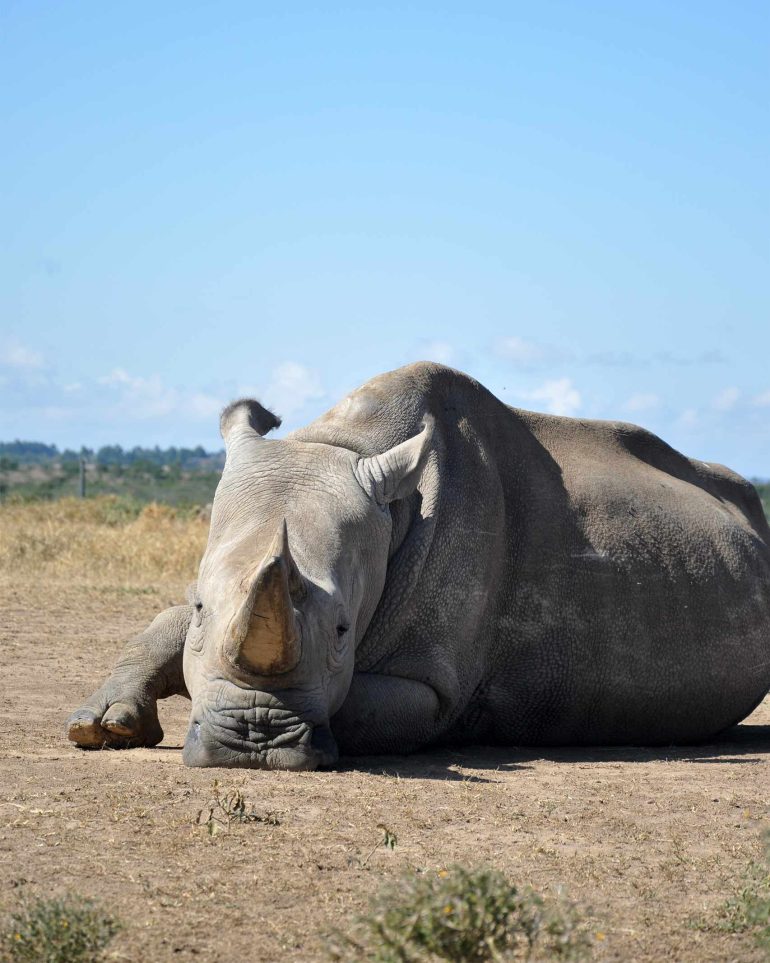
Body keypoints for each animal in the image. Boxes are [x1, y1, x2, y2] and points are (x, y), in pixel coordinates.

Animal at [67, 363, 770, 770]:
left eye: (344, 631)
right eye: (201, 607)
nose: (250, 744)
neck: (344, 445)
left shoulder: (432, 685)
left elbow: (354, 702)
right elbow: (163, 622)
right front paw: (102, 727)